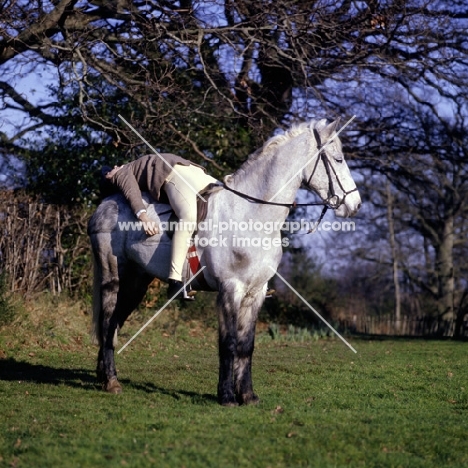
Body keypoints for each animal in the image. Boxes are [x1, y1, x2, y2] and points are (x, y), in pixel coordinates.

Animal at [88, 118, 360, 406]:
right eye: (339, 159)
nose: (355, 204)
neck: (252, 214)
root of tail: (106, 204)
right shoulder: (231, 289)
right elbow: (228, 343)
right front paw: (228, 395)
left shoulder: (256, 293)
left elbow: (246, 344)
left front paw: (248, 395)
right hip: (113, 277)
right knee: (107, 320)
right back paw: (111, 381)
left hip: (137, 283)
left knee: (115, 323)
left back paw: (104, 374)